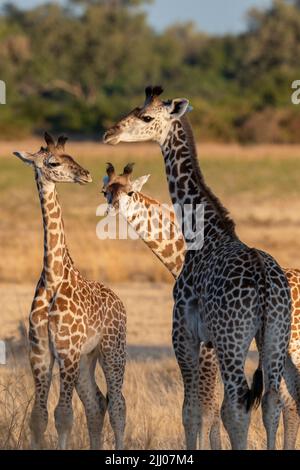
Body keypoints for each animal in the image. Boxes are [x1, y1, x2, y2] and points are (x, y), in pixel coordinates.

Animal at [13, 134, 126, 450]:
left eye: (71, 157)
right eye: (53, 162)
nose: (86, 174)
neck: (53, 277)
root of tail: (120, 302)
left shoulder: (67, 349)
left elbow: (63, 415)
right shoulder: (40, 352)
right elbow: (39, 418)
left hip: (112, 351)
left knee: (118, 406)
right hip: (87, 359)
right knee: (97, 404)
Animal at [102, 163, 221, 450]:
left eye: (131, 191)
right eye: (104, 192)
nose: (112, 209)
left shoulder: (208, 348)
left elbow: (207, 410)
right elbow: (203, 409)